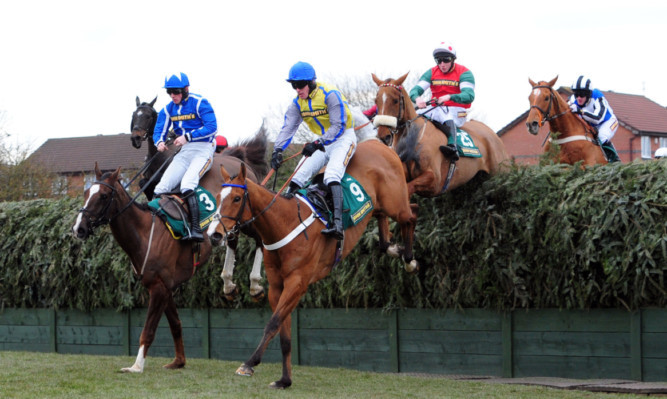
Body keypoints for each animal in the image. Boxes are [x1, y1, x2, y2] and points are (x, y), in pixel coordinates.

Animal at [130, 97, 268, 302]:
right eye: (134, 114)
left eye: (149, 115)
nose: (136, 138)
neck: (162, 158)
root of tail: (244, 165)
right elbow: (146, 187)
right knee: (233, 240)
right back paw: (228, 282)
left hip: (245, 217)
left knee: (259, 238)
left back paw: (255, 284)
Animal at [206, 139, 420, 390]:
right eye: (217, 197)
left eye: (237, 199)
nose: (214, 234)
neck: (285, 223)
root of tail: (378, 143)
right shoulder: (278, 286)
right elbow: (284, 334)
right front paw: (285, 380)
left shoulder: (297, 283)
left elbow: (273, 323)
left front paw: (249, 363)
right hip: (379, 206)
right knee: (384, 223)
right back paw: (394, 248)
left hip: (396, 202)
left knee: (412, 215)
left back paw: (409, 259)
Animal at [370, 73, 512, 198]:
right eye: (376, 101)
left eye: (395, 100)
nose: (383, 135)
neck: (412, 139)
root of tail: (491, 133)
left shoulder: (434, 180)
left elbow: (408, 190)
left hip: (500, 172)